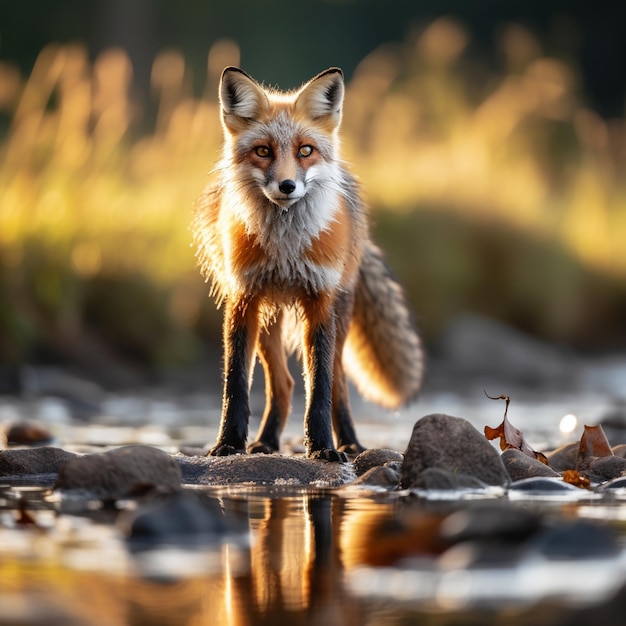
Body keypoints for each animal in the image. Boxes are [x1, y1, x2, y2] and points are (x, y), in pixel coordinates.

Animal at [193, 66, 422, 460]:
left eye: (305, 151)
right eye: (263, 151)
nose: (287, 186)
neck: (285, 249)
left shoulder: (320, 301)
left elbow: (320, 387)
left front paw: (323, 447)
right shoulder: (242, 299)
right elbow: (235, 383)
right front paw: (228, 443)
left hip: (339, 315)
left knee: (338, 383)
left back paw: (349, 441)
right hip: (268, 319)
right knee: (283, 383)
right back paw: (267, 441)